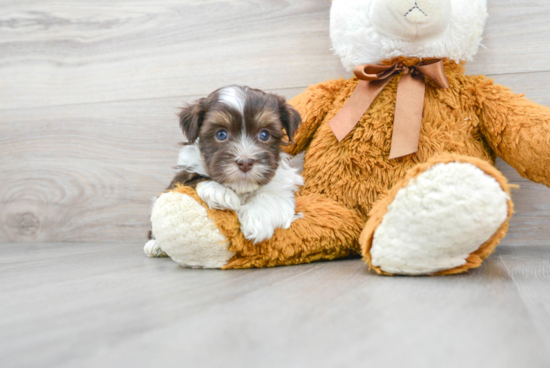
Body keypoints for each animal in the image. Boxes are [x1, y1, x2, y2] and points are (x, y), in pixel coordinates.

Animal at [144, 87, 304, 258]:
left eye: (264, 134)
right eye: (221, 134)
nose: (245, 162)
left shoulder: (282, 185)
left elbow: (271, 196)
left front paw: (256, 220)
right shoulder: (182, 175)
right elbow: (194, 179)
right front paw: (220, 192)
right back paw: (155, 246)